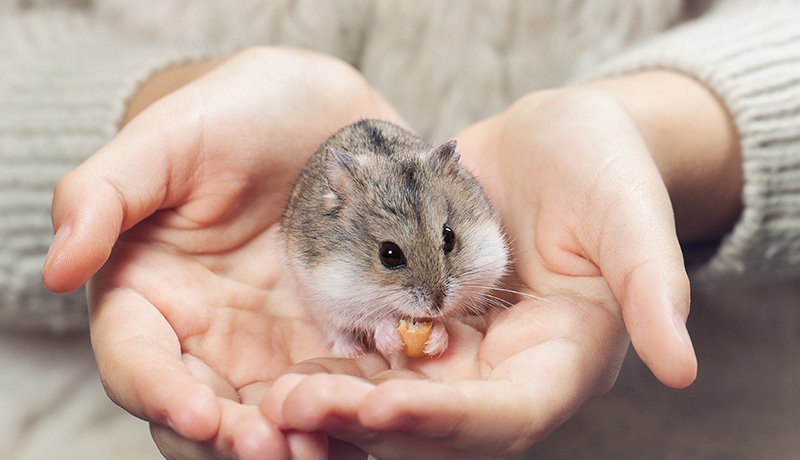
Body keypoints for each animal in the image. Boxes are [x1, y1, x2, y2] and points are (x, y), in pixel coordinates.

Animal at [282, 120, 506, 358]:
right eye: (389, 255)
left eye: (449, 236)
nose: (436, 308)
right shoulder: (332, 297)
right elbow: (373, 320)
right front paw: (389, 338)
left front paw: (437, 339)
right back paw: (352, 352)